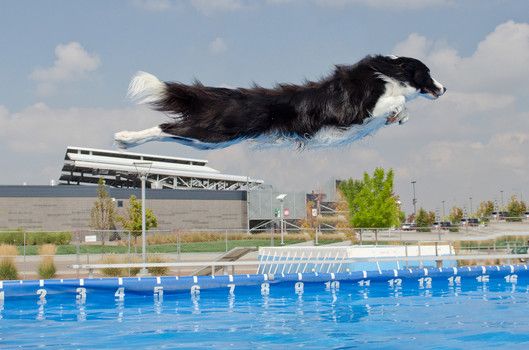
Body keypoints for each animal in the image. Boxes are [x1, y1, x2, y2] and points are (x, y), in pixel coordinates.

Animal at [116, 56, 446, 150]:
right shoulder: (353, 110)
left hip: (208, 142)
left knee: (170, 131)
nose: (445, 88)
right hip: (214, 133)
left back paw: (127, 142)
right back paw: (124, 136)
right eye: (428, 73)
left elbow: (402, 108)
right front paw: (398, 110)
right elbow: (398, 99)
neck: (388, 70)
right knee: (166, 125)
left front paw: (400, 117)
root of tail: (230, 96)